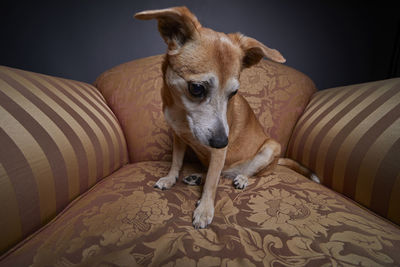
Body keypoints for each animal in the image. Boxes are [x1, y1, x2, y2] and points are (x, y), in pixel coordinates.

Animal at [134, 6, 316, 229]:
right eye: (196, 88)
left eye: (233, 93)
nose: (222, 142)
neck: (181, 113)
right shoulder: (178, 137)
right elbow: (177, 161)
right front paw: (170, 178)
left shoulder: (219, 152)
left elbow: (212, 182)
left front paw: (204, 209)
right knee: (220, 173)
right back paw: (197, 177)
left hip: (270, 148)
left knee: (248, 173)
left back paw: (241, 179)